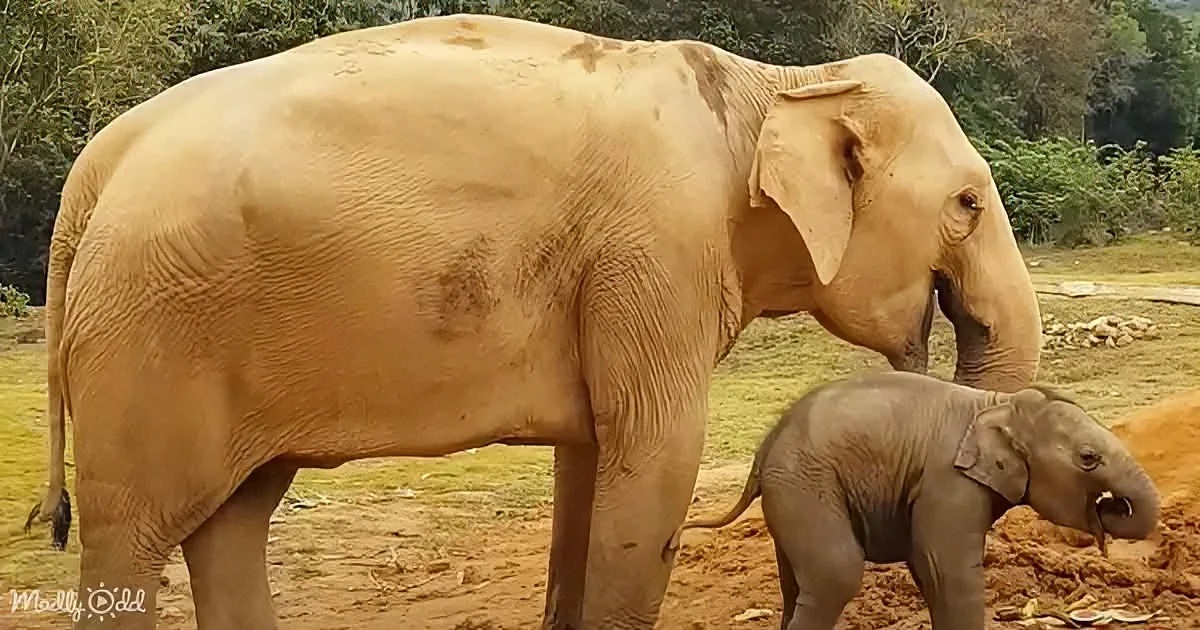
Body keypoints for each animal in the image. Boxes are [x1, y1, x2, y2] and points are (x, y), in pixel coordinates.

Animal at [23, 13, 1042, 630]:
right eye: (968, 203)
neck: (773, 86)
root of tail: (95, 168)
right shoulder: (656, 252)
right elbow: (656, 459)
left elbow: (590, 462)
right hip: (151, 333)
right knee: (133, 533)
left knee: (232, 517)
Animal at [668, 371, 1160, 630]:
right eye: (1088, 458)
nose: (1111, 505)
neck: (998, 403)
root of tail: (765, 447)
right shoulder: (948, 484)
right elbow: (946, 569)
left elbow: (931, 572)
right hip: (805, 485)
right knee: (835, 573)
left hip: (789, 494)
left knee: (798, 582)